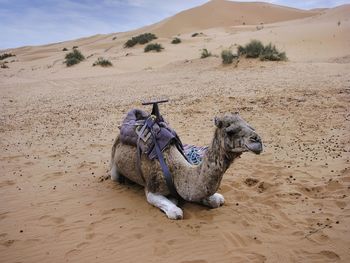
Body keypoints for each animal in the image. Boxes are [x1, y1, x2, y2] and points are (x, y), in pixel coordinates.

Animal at [110, 112, 262, 220]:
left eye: (250, 125)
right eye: (230, 131)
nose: (258, 141)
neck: (176, 171)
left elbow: (218, 200)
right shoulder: (152, 189)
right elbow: (176, 212)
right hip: (114, 165)